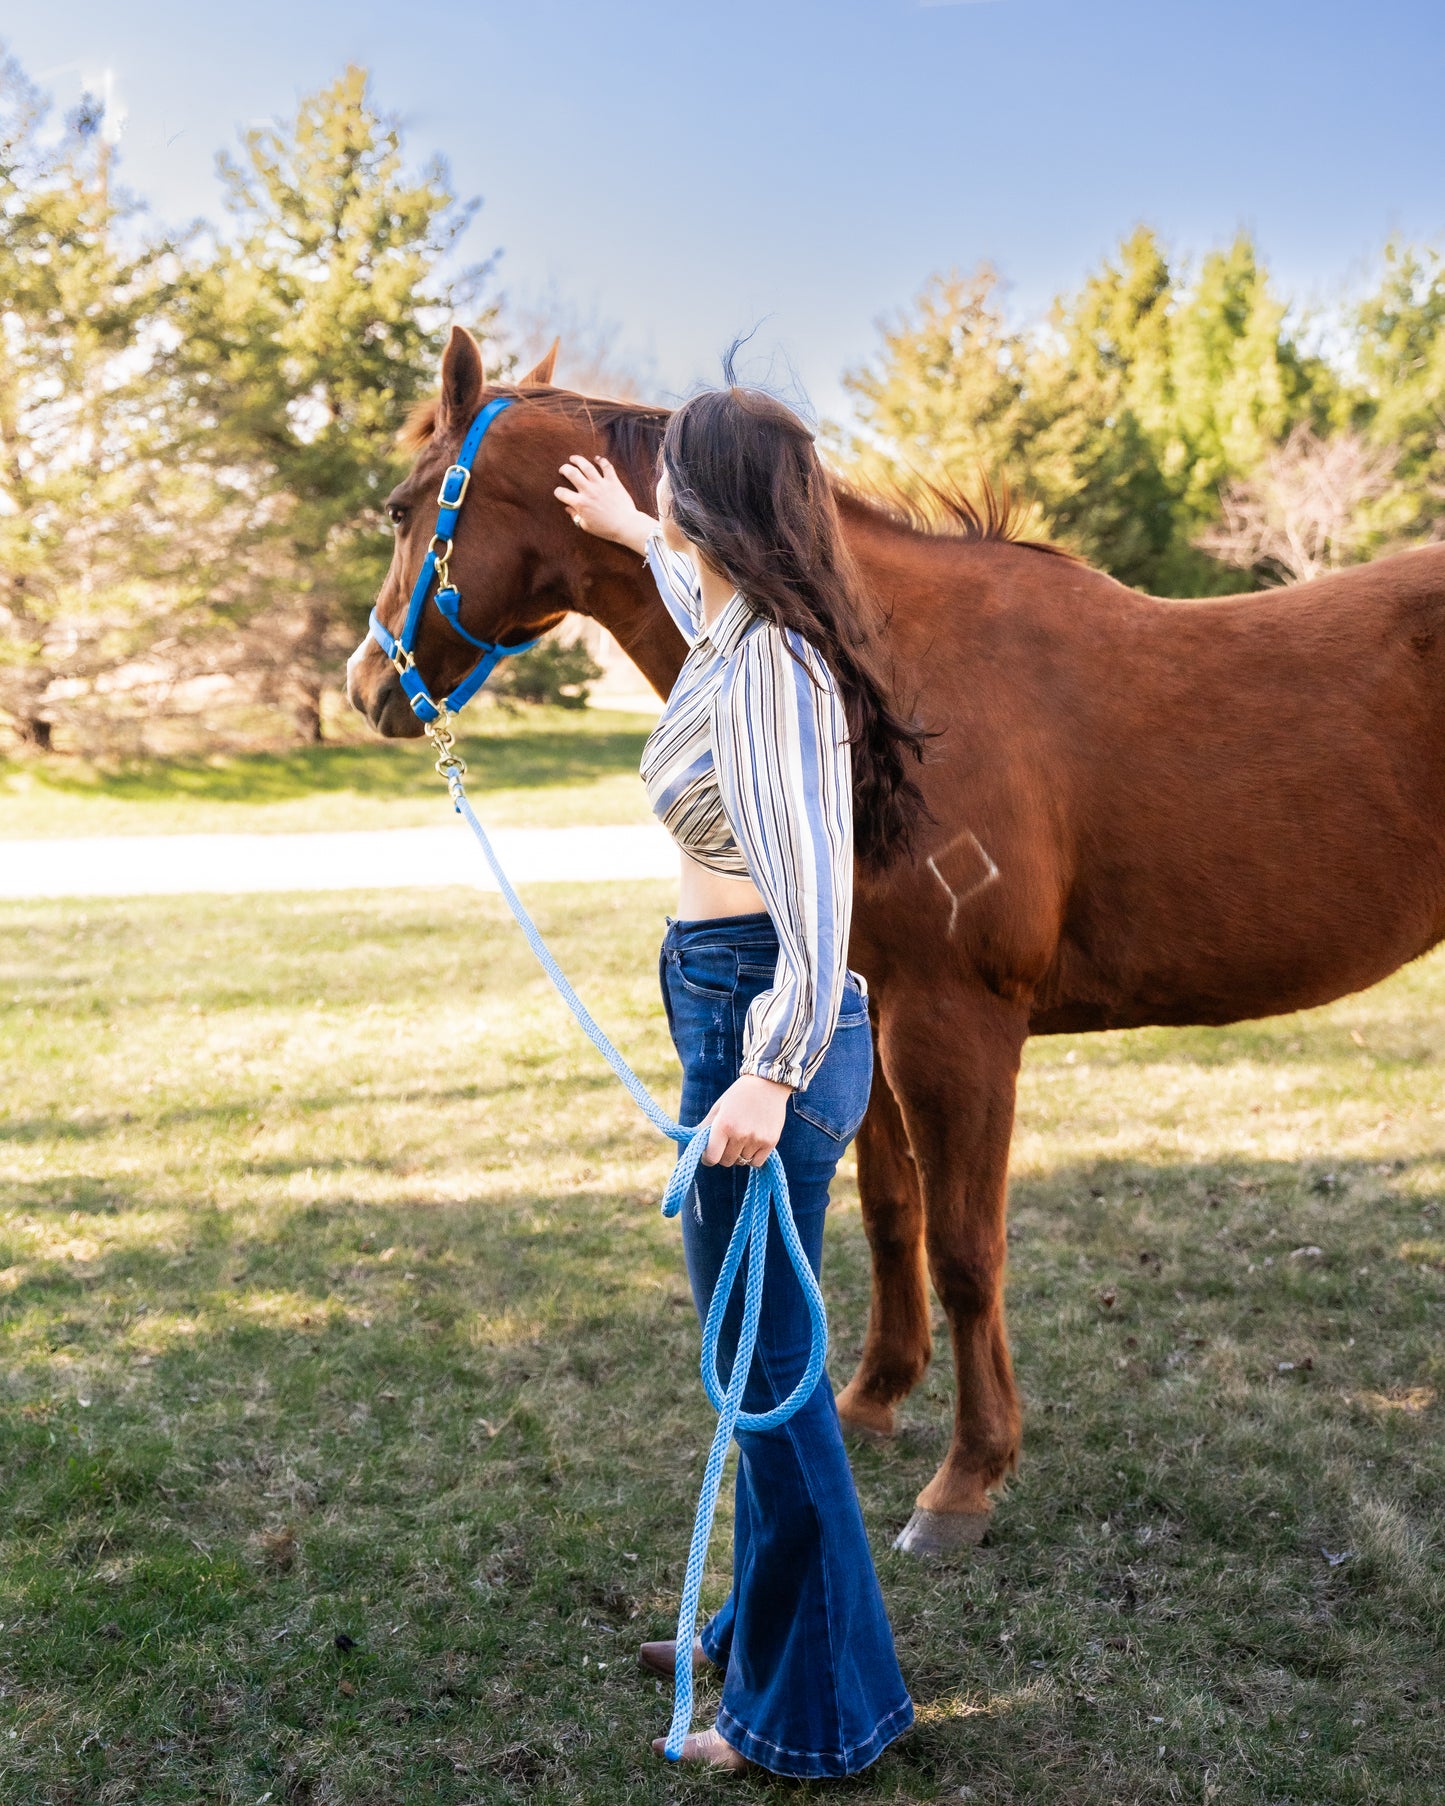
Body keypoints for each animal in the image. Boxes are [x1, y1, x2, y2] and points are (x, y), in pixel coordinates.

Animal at [346, 332, 1445, 1560]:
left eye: (400, 508)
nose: (367, 683)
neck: (879, 675)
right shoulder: (855, 1003)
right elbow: (887, 1215)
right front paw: (873, 1398)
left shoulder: (954, 1028)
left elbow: (966, 1249)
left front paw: (966, 1478)